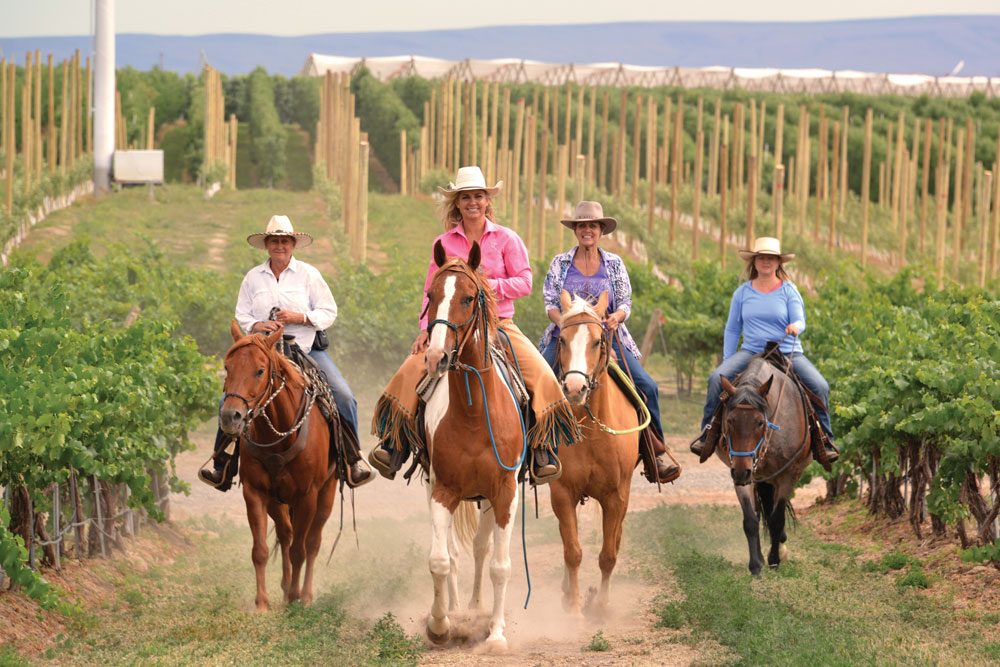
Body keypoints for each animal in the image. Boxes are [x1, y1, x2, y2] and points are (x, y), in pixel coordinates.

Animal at [218, 322, 340, 612]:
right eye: (228, 367)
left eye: (260, 370)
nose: (230, 417)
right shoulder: (255, 493)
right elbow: (260, 550)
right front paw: (262, 603)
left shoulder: (307, 496)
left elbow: (300, 550)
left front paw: (296, 598)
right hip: (277, 500)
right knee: (285, 534)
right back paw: (285, 590)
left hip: (327, 493)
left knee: (312, 542)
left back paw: (304, 595)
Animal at [420, 239, 528, 648]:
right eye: (431, 295)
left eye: (468, 298)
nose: (436, 357)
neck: (472, 413)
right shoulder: (443, 491)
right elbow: (440, 559)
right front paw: (440, 624)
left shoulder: (506, 492)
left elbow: (500, 565)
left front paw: (495, 634)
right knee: (452, 552)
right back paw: (456, 608)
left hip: (489, 499)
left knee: (483, 549)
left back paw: (479, 609)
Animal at [548, 290, 640, 616]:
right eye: (562, 340)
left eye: (598, 340)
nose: (575, 388)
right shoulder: (562, 492)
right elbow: (572, 550)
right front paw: (575, 606)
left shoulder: (616, 496)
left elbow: (608, 554)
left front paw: (600, 605)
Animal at [720, 354, 812, 576]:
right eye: (730, 420)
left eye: (760, 422)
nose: (741, 472)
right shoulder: (742, 474)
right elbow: (751, 520)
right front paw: (756, 564)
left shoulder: (788, 475)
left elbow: (776, 519)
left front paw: (774, 560)